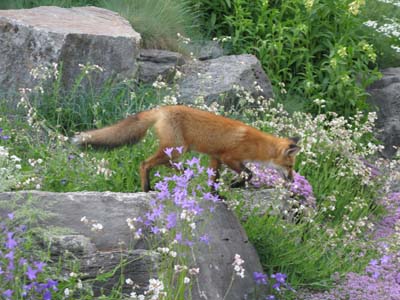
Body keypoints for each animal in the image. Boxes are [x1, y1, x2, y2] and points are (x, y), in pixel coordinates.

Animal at [73, 104, 302, 191]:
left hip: (177, 151)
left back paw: (184, 174)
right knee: (145, 164)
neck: (258, 145)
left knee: (169, 165)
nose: (292, 181)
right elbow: (249, 173)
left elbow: (213, 181)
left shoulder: (215, 158)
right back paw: (147, 188)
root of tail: (162, 108)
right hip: (177, 149)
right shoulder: (229, 157)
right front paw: (236, 185)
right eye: (290, 167)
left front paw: (217, 196)